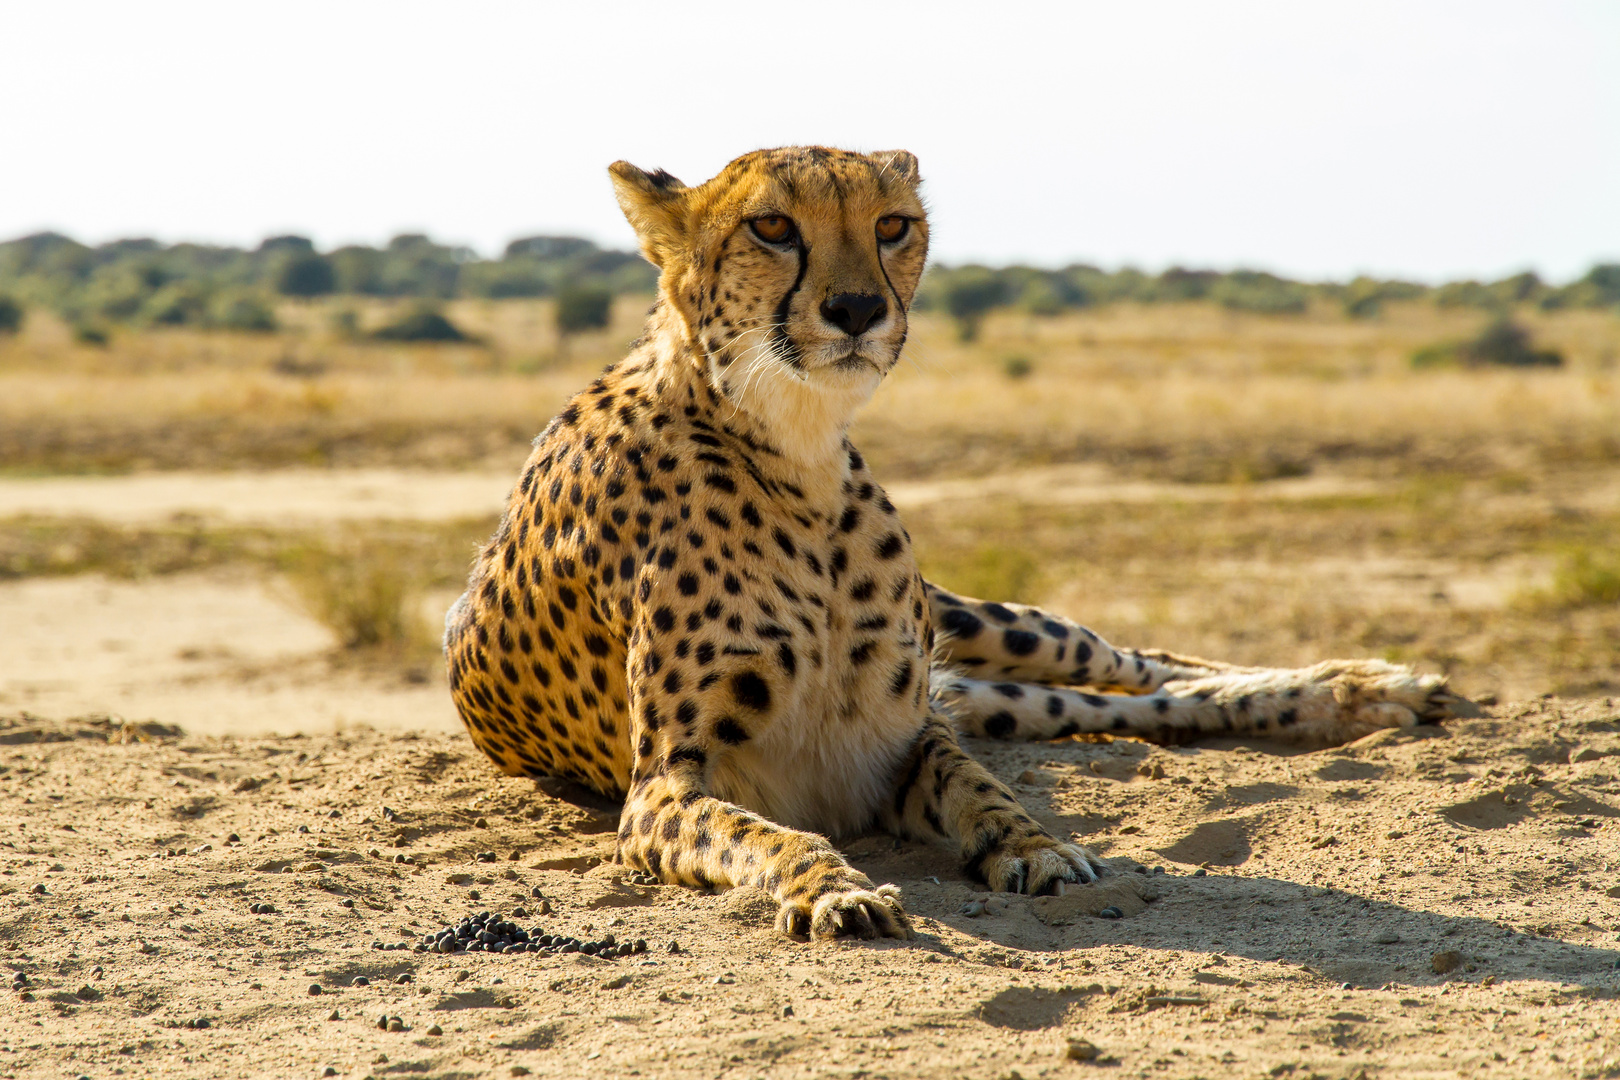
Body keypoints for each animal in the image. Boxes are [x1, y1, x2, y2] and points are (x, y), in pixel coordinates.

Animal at [440, 148, 1470, 939]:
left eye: (893, 225)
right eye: (773, 228)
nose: (858, 308)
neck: (795, 445)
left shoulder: (908, 731)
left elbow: (983, 791)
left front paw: (1037, 847)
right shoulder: (660, 789)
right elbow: (777, 836)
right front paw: (836, 890)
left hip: (986, 631)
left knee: (1144, 667)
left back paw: (1366, 688)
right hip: (996, 690)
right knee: (1119, 704)